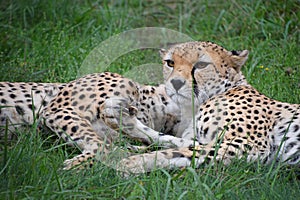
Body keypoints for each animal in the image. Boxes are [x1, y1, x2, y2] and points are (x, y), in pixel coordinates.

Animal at [106, 41, 300, 173]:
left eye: (201, 65)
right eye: (170, 63)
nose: (176, 83)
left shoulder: (248, 145)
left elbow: (176, 151)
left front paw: (131, 163)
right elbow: (171, 141)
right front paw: (125, 123)